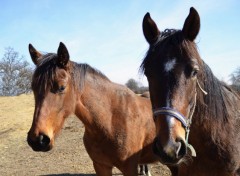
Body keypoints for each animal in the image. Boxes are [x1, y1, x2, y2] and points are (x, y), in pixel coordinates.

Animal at [26, 42, 158, 175]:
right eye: (33, 88)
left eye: (62, 87)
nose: (38, 139)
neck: (110, 121)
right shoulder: (101, 166)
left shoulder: (129, 168)